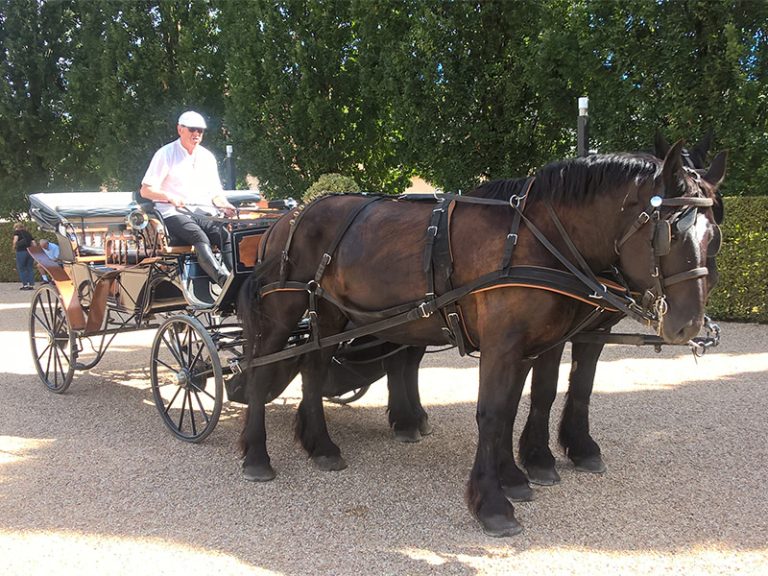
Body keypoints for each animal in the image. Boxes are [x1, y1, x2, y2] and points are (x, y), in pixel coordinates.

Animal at [237, 144, 724, 536]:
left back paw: (320, 444)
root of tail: (289, 216)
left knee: (315, 368)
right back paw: (257, 455)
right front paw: (493, 503)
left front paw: (518, 473)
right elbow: (492, 414)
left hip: (332, 314)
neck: (536, 237)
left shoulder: (536, 343)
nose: (688, 324)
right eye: (669, 233)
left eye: (714, 235)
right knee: (259, 373)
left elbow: (521, 404)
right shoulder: (504, 345)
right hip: (285, 311)